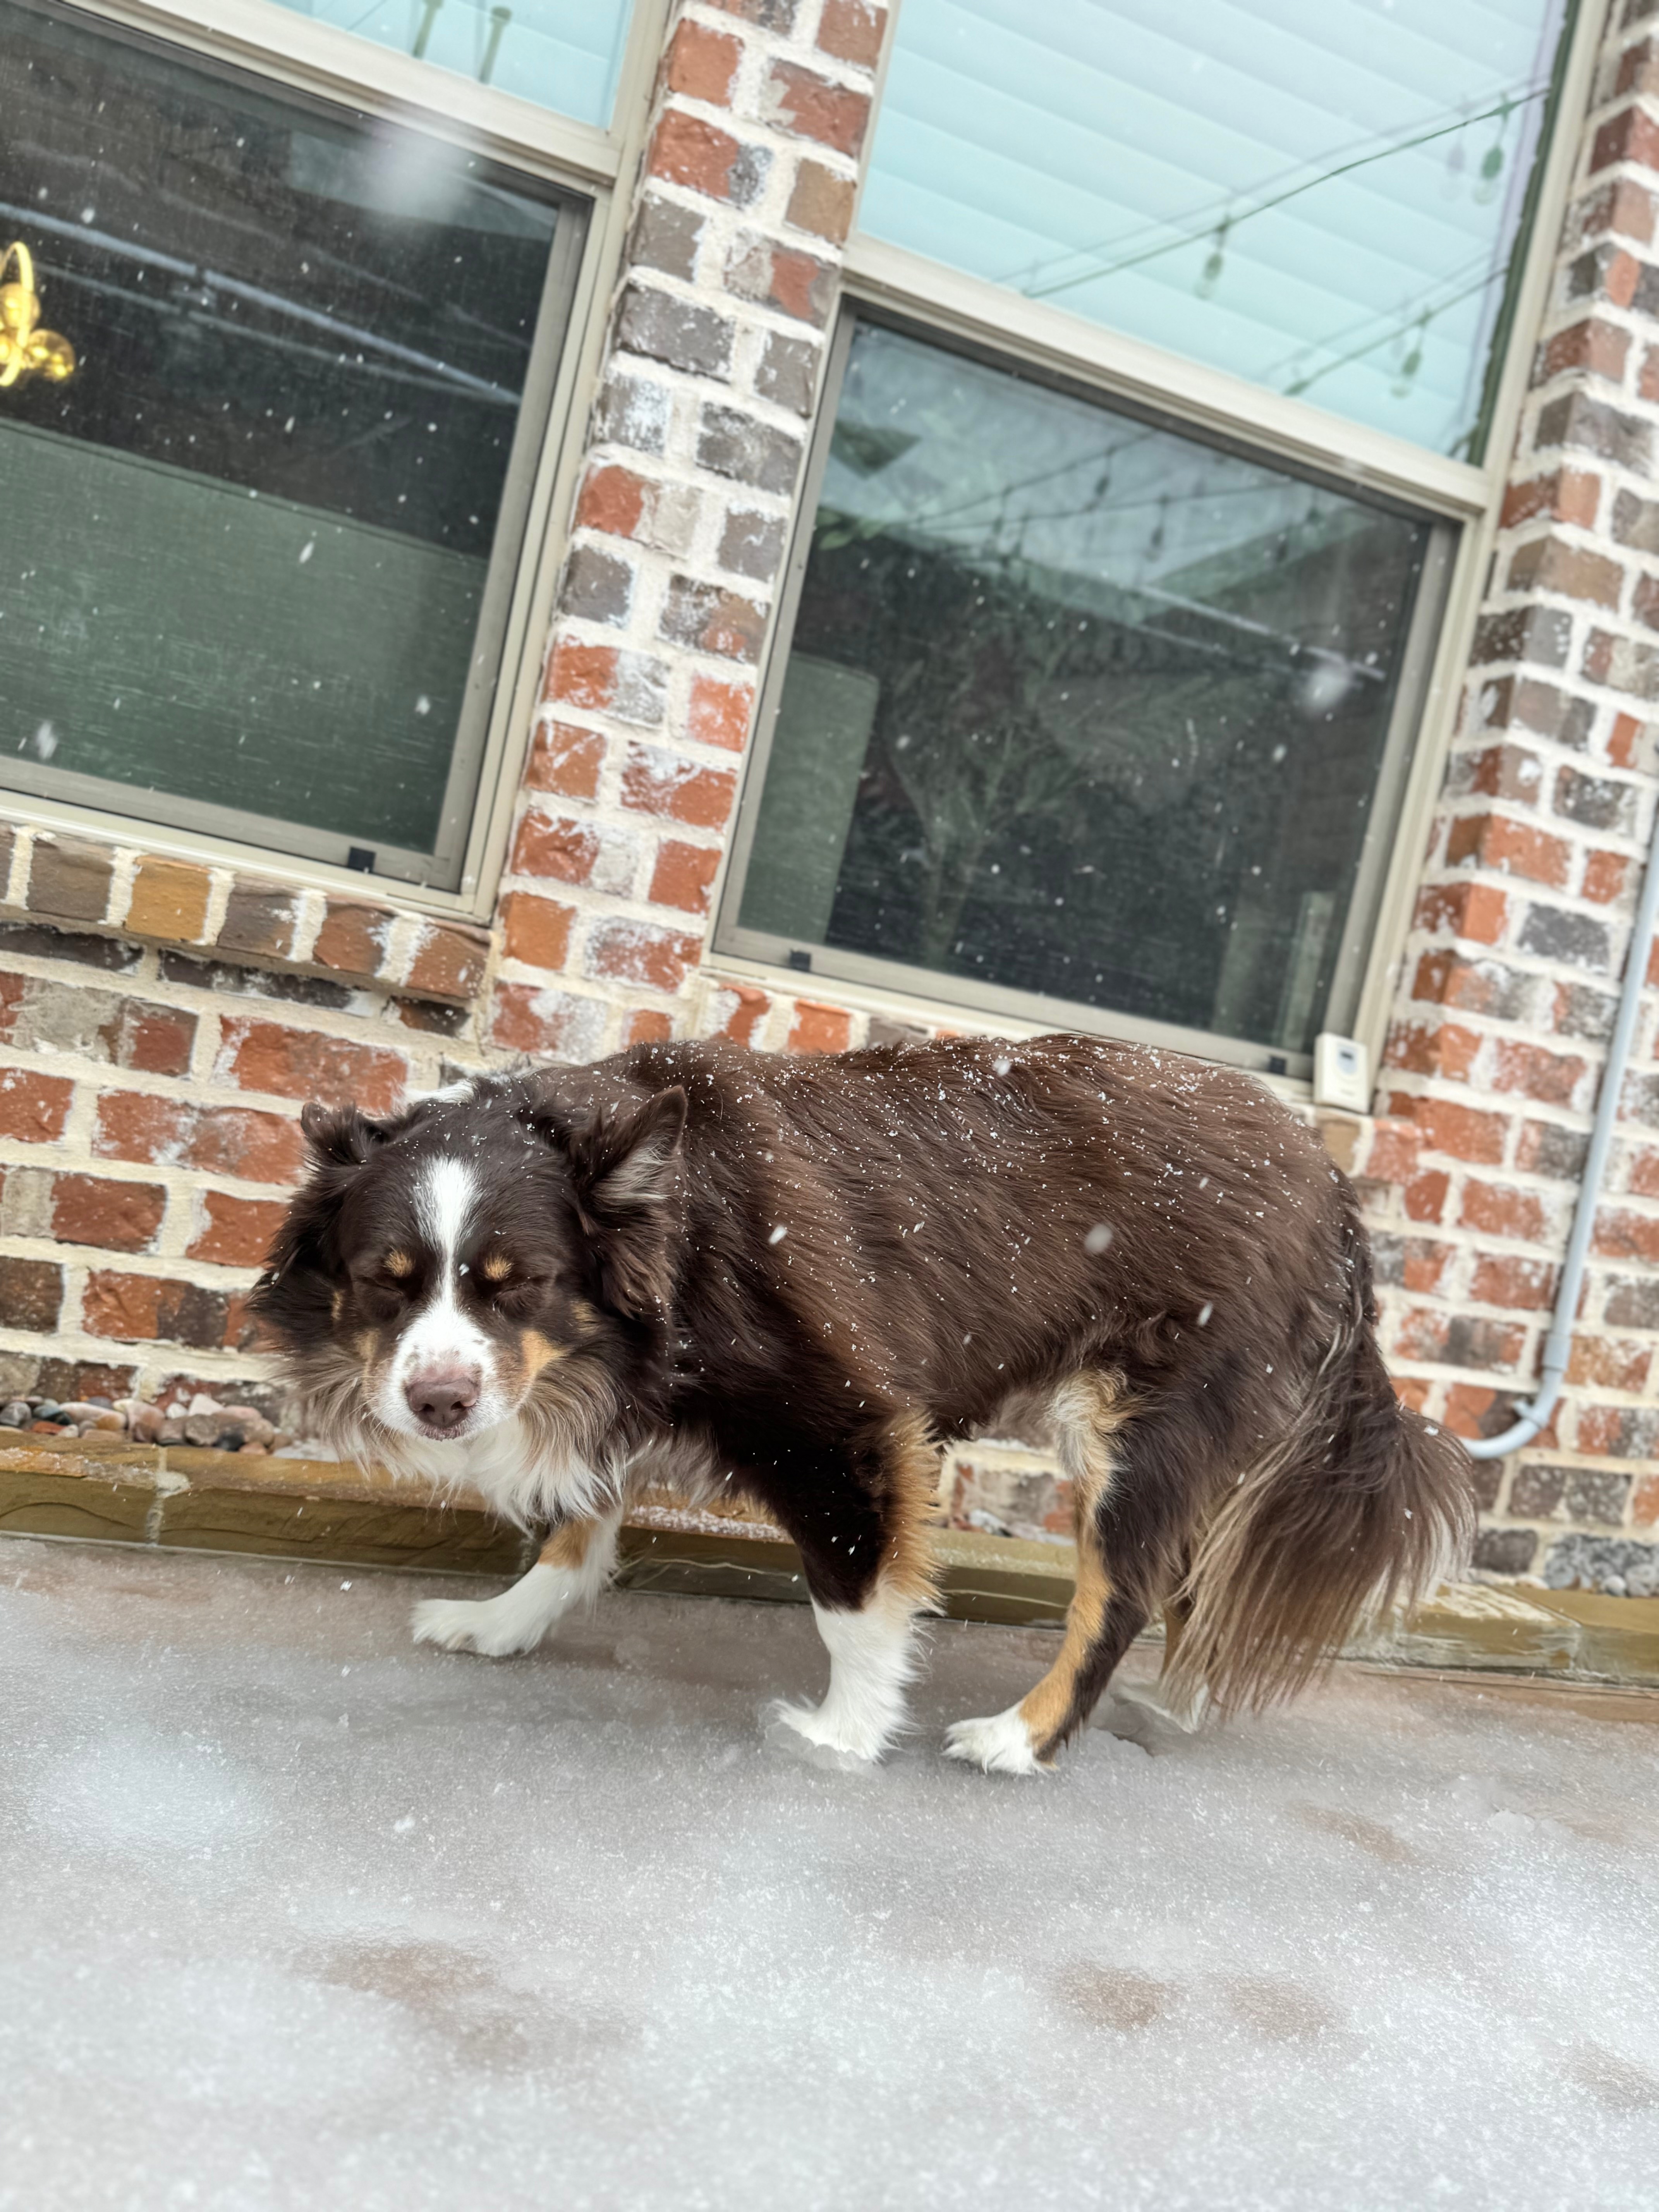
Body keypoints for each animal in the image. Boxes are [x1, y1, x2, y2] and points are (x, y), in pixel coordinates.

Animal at [253, 1026, 1477, 1769]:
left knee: (1120, 1594)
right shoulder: (606, 1382)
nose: (440, 1404)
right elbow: (575, 1522)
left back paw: (1020, 1739)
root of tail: (1333, 1185)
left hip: (1143, 1422)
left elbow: (852, 1600)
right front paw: (501, 1621)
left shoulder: (835, 1423)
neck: (673, 1231)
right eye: (386, 1282)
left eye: (522, 1284)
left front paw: (843, 1734)